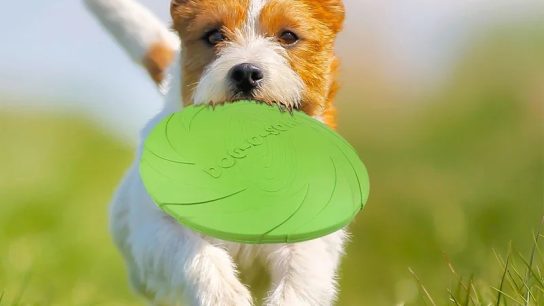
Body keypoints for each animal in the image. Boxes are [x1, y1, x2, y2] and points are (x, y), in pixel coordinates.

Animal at [85, 0, 348, 306]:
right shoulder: (157, 230)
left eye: (288, 36)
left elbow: (299, 274)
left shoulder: (307, 236)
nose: (245, 72)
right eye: (213, 36)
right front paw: (225, 296)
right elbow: (195, 253)